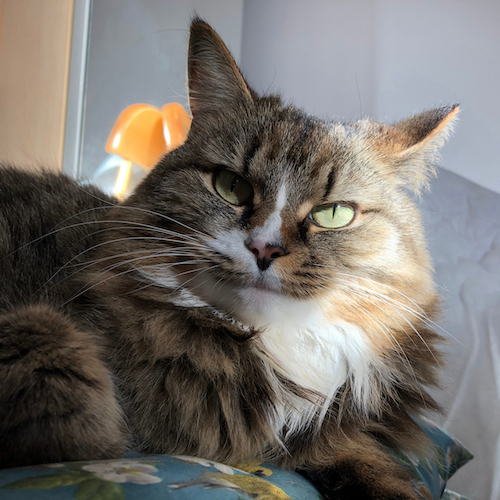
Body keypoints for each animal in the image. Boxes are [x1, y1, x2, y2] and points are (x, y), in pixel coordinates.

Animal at [0, 17, 458, 498]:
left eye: (333, 214)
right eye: (231, 186)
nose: (264, 248)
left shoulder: (335, 435)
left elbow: (375, 470)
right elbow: (85, 433)